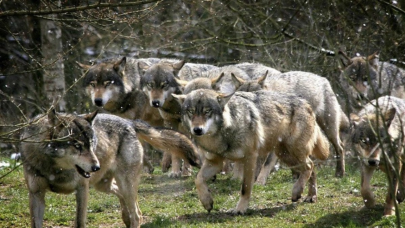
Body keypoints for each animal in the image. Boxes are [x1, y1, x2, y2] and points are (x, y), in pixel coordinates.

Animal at [19, 109, 199, 227]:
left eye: (91, 144)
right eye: (77, 146)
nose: (96, 166)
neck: (53, 168)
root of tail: (129, 122)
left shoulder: (82, 190)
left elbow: (79, 222)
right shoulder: (35, 194)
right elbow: (35, 223)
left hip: (123, 184)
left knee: (137, 215)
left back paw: (131, 218)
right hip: (103, 185)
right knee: (127, 201)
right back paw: (126, 217)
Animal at [173, 88, 328, 214]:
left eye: (207, 111)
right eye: (191, 111)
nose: (197, 130)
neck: (224, 133)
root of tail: (306, 102)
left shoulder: (250, 158)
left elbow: (245, 188)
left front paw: (240, 209)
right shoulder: (215, 162)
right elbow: (198, 179)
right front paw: (207, 202)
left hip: (293, 152)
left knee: (309, 166)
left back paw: (297, 192)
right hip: (286, 156)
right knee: (311, 169)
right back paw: (310, 196)